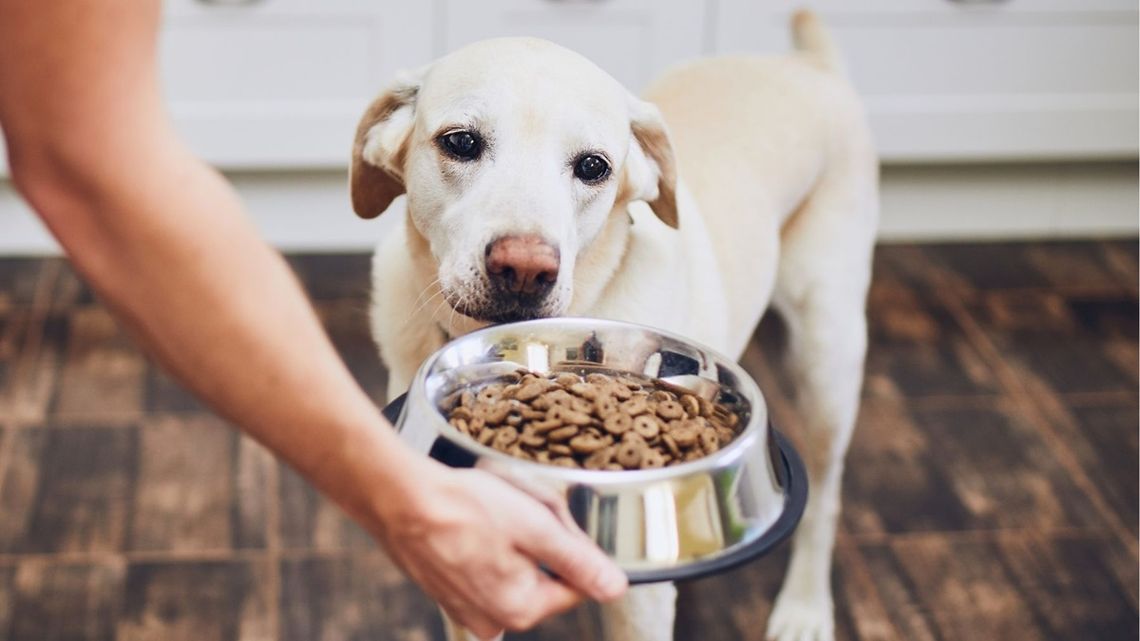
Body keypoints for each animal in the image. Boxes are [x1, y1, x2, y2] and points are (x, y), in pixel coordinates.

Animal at [351, 9, 875, 638]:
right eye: (460, 142)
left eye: (593, 167)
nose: (524, 269)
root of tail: (809, 65)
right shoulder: (465, 573)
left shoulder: (637, 602)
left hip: (827, 357)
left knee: (825, 496)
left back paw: (804, 608)